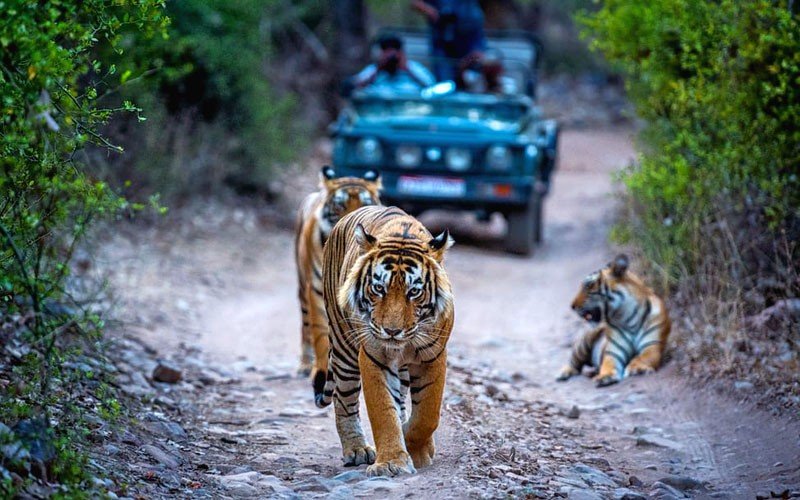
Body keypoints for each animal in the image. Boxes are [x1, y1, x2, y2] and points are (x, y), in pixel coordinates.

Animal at [296, 166, 382, 376]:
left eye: (365, 204)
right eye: (339, 206)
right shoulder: (316, 289)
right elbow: (319, 332)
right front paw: (320, 368)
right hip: (303, 287)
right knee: (305, 325)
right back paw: (304, 364)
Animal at [318, 206, 456, 476]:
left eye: (414, 292)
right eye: (379, 288)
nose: (392, 331)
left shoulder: (434, 355)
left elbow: (428, 413)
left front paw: (416, 448)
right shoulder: (374, 356)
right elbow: (383, 411)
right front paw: (392, 462)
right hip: (343, 347)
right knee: (344, 400)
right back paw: (357, 450)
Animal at [556, 254, 668, 386]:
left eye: (588, 285)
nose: (572, 306)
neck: (627, 316)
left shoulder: (652, 345)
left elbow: (643, 357)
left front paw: (637, 368)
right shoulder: (613, 352)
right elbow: (608, 363)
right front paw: (605, 376)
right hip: (585, 341)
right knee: (574, 362)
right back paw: (563, 373)